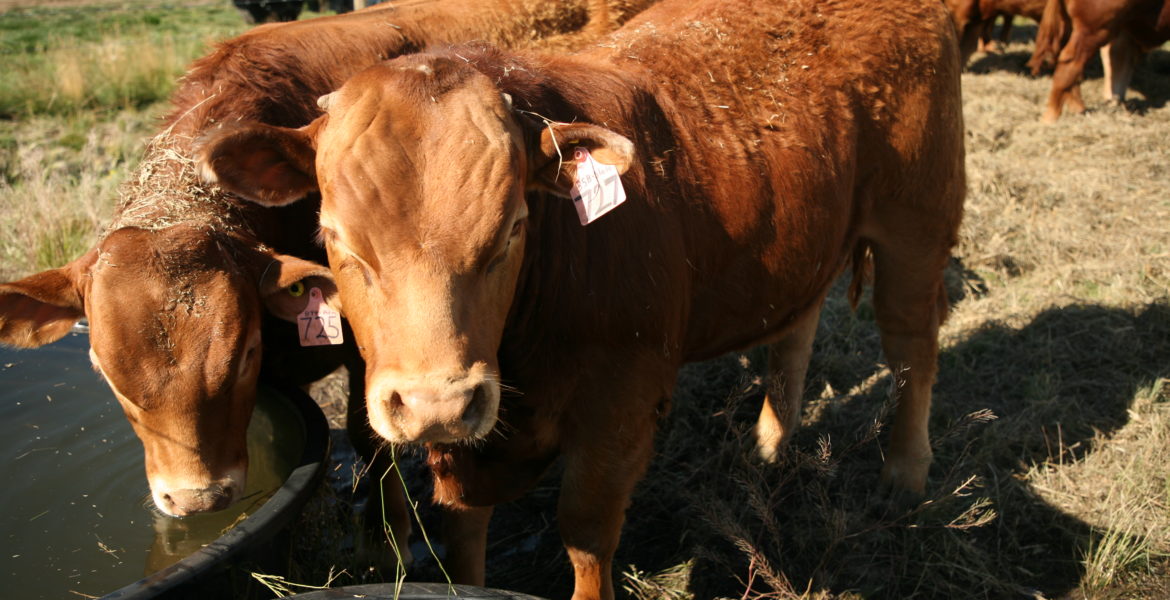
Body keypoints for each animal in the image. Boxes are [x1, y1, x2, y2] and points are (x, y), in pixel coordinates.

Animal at [0, 0, 656, 563]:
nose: (196, 498)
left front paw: (387, 537)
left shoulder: (367, 359)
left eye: (244, 354)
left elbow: (369, 437)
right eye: (103, 371)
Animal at [198, 0, 966, 595]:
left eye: (513, 226)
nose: (435, 404)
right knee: (797, 329)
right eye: (334, 235)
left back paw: (904, 473)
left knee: (913, 349)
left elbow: (587, 534)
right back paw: (772, 444)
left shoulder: (619, 408)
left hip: (917, 226)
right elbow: (464, 533)